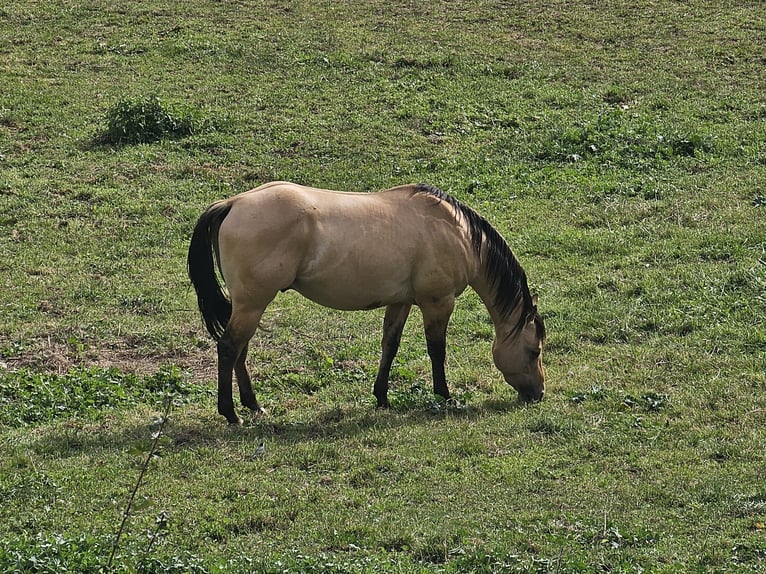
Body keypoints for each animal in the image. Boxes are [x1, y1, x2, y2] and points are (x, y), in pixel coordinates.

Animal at [188, 181, 546, 424]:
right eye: (534, 351)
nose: (538, 394)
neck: (457, 234)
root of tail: (233, 203)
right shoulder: (438, 303)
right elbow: (437, 350)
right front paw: (444, 395)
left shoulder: (401, 302)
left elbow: (390, 346)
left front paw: (382, 396)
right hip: (252, 304)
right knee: (229, 348)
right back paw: (231, 413)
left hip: (249, 305)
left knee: (240, 350)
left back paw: (252, 404)